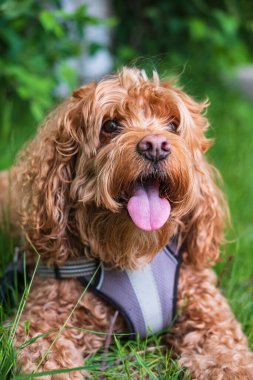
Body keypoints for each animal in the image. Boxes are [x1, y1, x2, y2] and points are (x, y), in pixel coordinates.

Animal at [0, 67, 253, 378]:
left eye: (172, 124)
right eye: (110, 125)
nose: (155, 145)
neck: (132, 254)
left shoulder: (209, 314)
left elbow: (229, 355)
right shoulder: (42, 318)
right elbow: (46, 356)